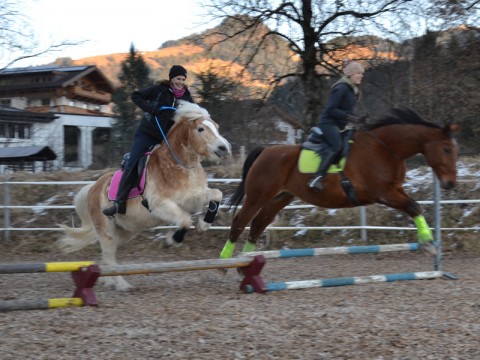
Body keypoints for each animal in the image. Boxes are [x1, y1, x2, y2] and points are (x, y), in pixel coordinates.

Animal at [59, 100, 232, 290]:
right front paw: (171, 241)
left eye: (216, 127)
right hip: (107, 231)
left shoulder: (193, 197)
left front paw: (203, 225)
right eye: (200, 129)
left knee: (106, 255)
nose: (224, 148)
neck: (180, 165)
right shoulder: (159, 205)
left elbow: (216, 195)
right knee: (109, 256)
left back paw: (108, 281)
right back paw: (122, 285)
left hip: (124, 232)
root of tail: (93, 188)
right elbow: (185, 220)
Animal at [219, 107, 460, 262]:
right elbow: (413, 207)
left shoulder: (395, 189)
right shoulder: (382, 193)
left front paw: (428, 243)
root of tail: (266, 150)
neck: (386, 147)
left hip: (280, 197)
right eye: (447, 149)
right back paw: (225, 261)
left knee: (258, 223)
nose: (450, 183)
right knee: (240, 221)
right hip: (258, 195)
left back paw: (249, 260)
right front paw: (428, 244)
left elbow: (415, 206)